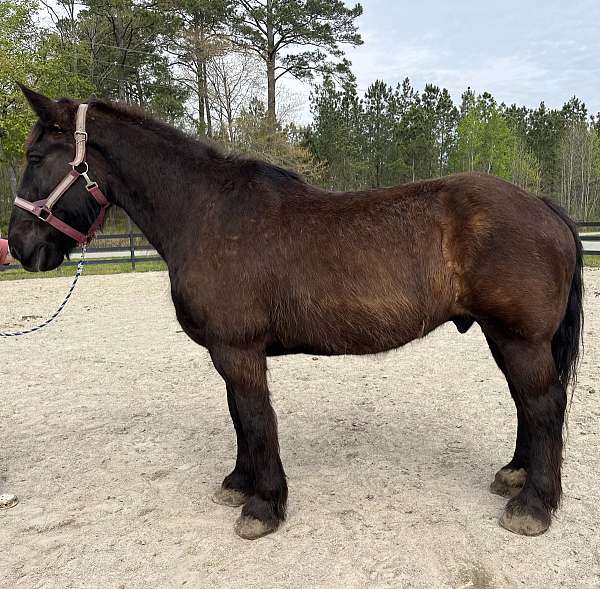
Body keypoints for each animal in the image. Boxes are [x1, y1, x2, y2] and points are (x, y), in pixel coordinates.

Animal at [8, 85, 580, 540]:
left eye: (35, 157)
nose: (20, 247)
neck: (206, 213)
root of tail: (541, 204)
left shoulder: (238, 349)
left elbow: (257, 418)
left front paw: (263, 507)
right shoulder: (229, 353)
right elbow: (239, 416)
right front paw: (239, 485)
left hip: (519, 338)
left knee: (544, 406)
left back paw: (533, 506)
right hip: (503, 336)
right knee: (528, 404)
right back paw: (515, 476)